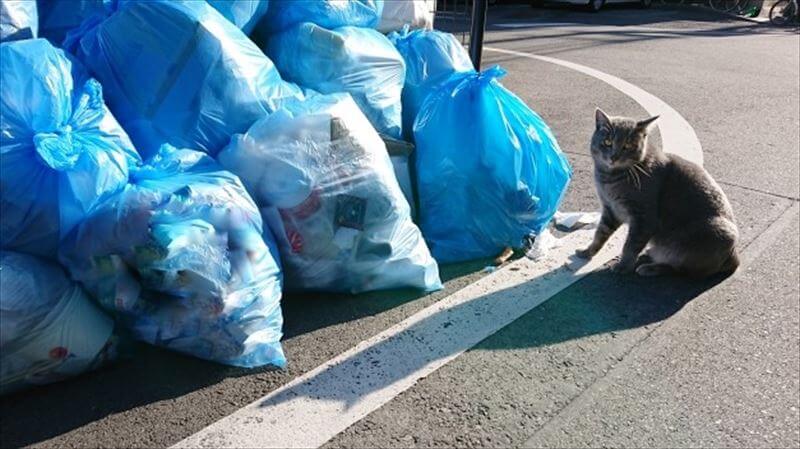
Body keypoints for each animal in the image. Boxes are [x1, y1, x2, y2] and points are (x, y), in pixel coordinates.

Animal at [580, 108, 740, 276]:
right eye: (607, 142)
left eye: (628, 145)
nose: (613, 157)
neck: (610, 178)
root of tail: (734, 257)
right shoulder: (610, 209)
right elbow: (600, 233)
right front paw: (588, 251)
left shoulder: (644, 218)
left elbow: (630, 245)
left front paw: (623, 266)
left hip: (697, 241)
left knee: (681, 269)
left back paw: (649, 267)